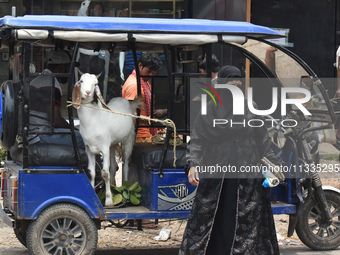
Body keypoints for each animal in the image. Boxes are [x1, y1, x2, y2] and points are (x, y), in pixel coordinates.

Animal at [72, 72, 139, 206]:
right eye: (81, 81)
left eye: (95, 84)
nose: (87, 92)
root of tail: (128, 104)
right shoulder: (89, 149)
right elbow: (92, 172)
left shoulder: (104, 148)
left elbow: (105, 173)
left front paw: (108, 200)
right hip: (112, 144)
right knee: (114, 166)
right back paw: (114, 187)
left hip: (128, 140)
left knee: (125, 165)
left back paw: (126, 190)